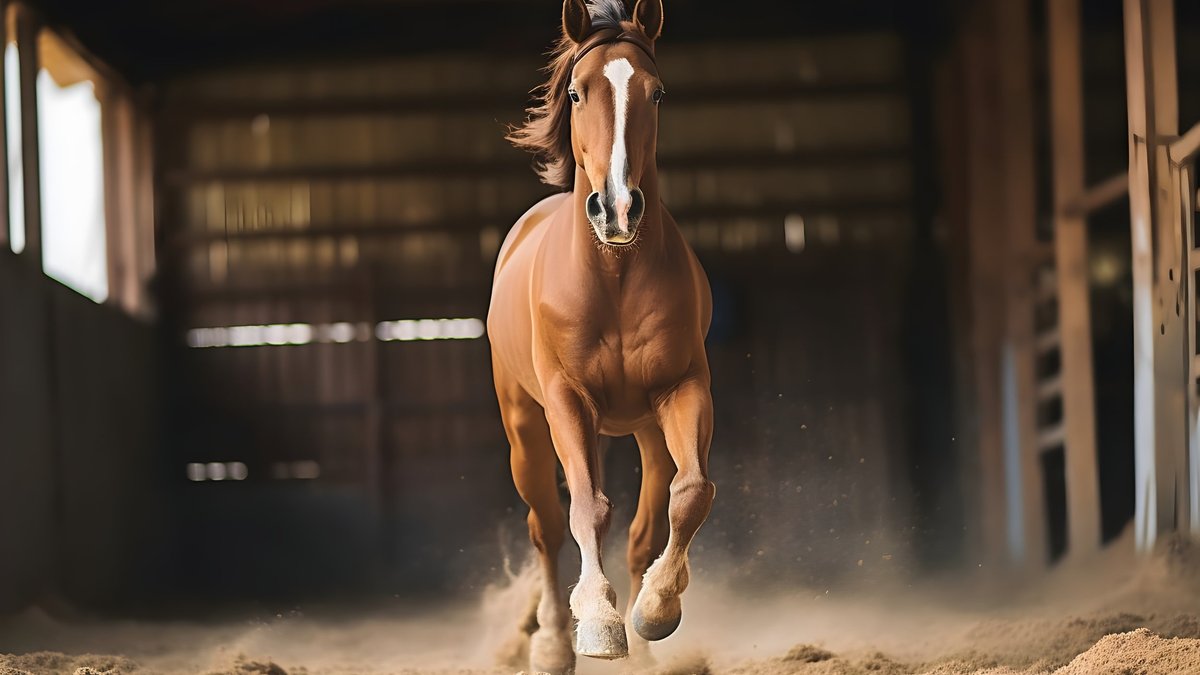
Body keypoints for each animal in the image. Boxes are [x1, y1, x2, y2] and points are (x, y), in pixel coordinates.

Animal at [484, 1, 710, 667]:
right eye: (578, 92)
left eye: (656, 92)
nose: (617, 209)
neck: (615, 275)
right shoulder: (567, 402)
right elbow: (585, 508)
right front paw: (600, 623)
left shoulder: (683, 389)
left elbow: (691, 493)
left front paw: (656, 608)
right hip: (526, 429)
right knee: (545, 525)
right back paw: (554, 642)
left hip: (646, 430)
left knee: (646, 524)